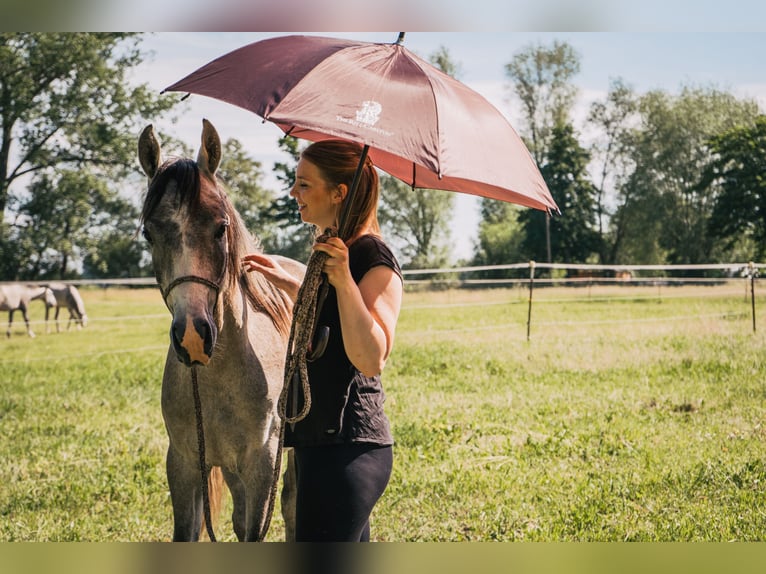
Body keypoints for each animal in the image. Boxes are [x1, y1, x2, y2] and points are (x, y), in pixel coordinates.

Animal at [138, 119, 306, 544]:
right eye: (149, 234)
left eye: (220, 228)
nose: (192, 335)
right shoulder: (183, 461)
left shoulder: (263, 462)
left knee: (292, 505)